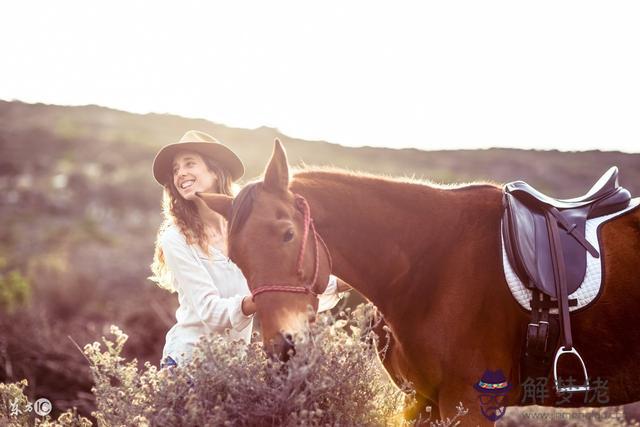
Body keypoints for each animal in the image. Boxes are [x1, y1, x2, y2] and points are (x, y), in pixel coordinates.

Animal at [199, 140, 640, 424]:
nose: (283, 348)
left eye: (287, 234)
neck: (431, 264)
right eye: (236, 259)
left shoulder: (471, 403)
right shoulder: (422, 401)